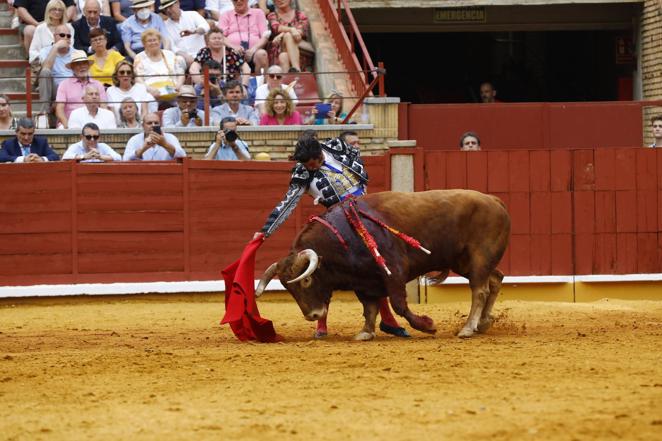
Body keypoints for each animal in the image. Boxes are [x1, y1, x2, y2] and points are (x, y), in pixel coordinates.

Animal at [256, 187, 510, 338]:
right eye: (288, 288)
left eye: (307, 280)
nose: (313, 315)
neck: (344, 237)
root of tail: (494, 200)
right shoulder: (363, 281)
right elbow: (369, 307)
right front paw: (365, 332)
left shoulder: (394, 270)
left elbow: (398, 304)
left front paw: (427, 325)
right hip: (464, 262)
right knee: (495, 279)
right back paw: (483, 323)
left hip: (479, 257)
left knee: (479, 290)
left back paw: (468, 328)